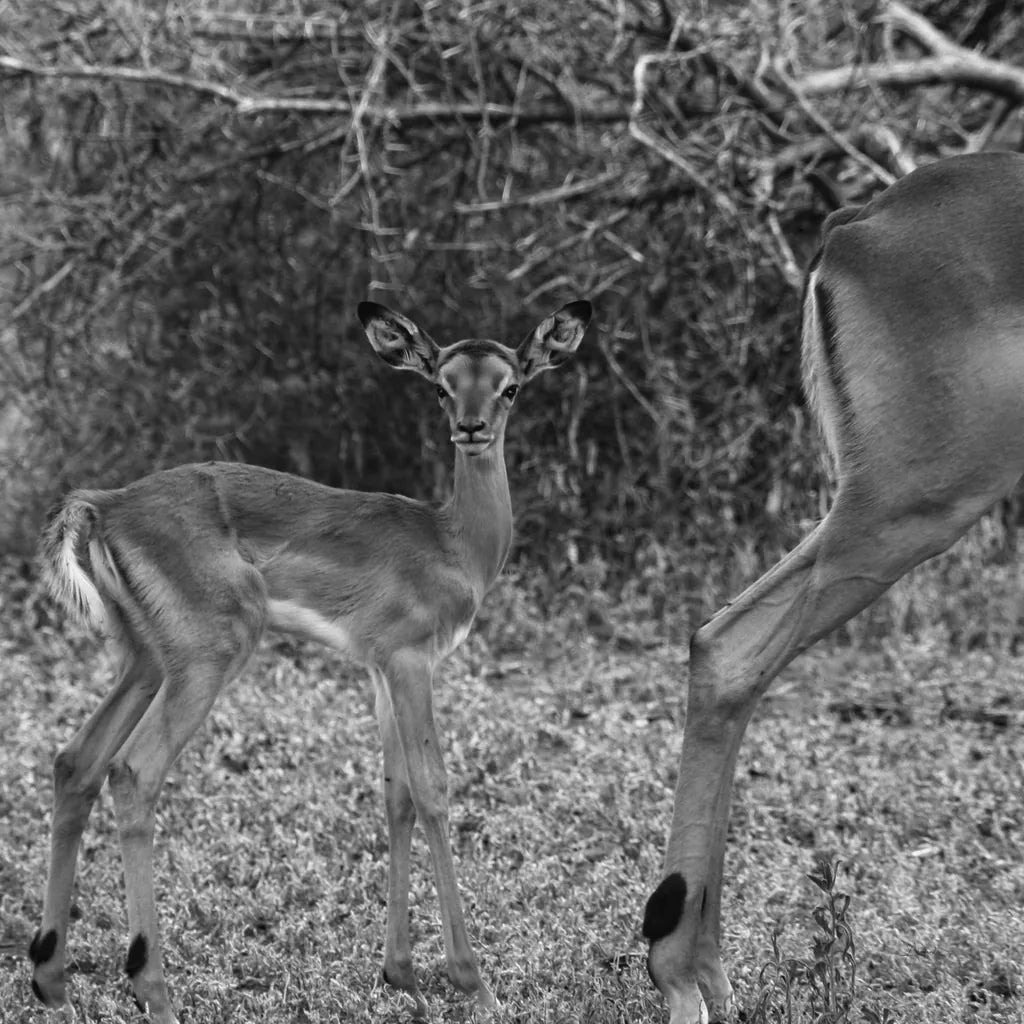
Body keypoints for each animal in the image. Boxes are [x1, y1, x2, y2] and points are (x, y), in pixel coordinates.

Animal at [29, 298, 591, 1022]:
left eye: (511, 385)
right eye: (442, 385)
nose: (470, 428)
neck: (454, 543)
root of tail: (104, 504)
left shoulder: (379, 671)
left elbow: (396, 796)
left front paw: (402, 973)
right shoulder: (411, 663)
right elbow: (434, 790)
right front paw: (475, 981)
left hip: (145, 662)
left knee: (77, 763)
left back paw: (51, 978)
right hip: (208, 659)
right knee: (133, 771)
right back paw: (152, 987)